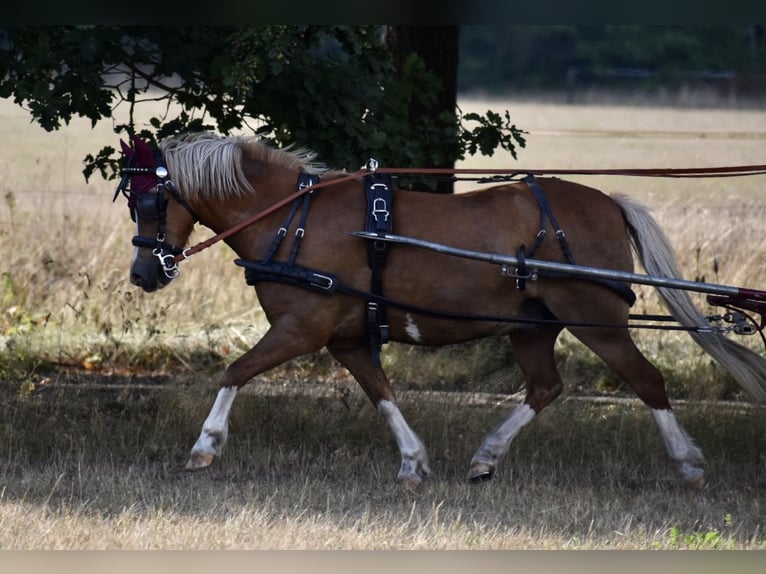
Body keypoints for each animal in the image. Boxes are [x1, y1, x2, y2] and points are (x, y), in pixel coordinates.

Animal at [116, 132, 766, 488]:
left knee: (647, 381)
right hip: (531, 326)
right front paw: (412, 461)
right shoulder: (345, 337)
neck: (292, 221)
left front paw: (205, 446)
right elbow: (381, 392)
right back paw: (484, 458)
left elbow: (235, 371)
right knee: (545, 387)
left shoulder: (303, 328)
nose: (144, 274)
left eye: (148, 201)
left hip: (598, 318)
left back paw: (687, 464)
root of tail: (607, 201)